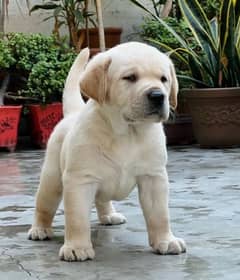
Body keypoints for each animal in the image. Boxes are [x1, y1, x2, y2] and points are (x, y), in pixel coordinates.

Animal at [27, 41, 186, 260]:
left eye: (163, 79)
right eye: (130, 77)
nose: (158, 95)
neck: (128, 133)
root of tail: (72, 114)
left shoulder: (154, 177)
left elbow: (160, 215)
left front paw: (166, 241)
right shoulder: (80, 180)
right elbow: (77, 219)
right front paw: (77, 247)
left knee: (101, 198)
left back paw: (109, 215)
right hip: (52, 178)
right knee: (44, 204)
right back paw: (39, 229)